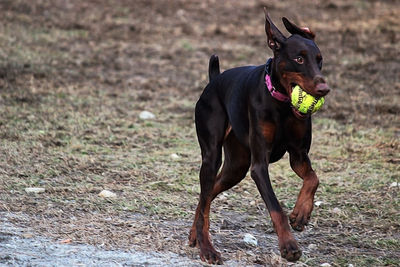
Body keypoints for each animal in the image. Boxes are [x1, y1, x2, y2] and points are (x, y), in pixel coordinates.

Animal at [191, 7, 332, 264]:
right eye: (299, 59)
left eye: (320, 59)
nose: (323, 89)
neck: (282, 105)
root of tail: (214, 80)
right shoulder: (259, 165)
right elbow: (276, 208)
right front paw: (289, 246)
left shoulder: (298, 154)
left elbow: (313, 178)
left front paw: (301, 214)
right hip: (212, 156)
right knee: (205, 197)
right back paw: (207, 248)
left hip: (236, 167)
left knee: (207, 196)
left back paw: (194, 235)